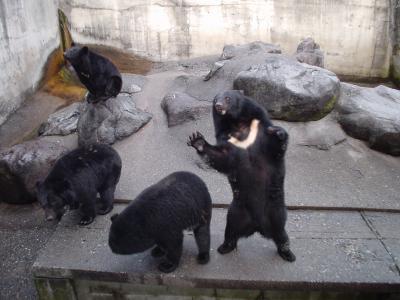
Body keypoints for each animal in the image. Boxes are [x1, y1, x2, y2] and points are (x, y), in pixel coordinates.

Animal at [187, 89, 294, 262]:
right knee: (231, 229)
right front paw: (197, 140)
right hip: (236, 210)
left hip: (276, 209)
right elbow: (222, 158)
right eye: (215, 100)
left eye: (227, 98)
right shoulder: (229, 139)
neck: (238, 123)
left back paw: (287, 253)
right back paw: (225, 247)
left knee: (280, 232)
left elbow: (275, 148)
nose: (218, 106)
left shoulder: (260, 131)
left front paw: (278, 132)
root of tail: (257, 226)